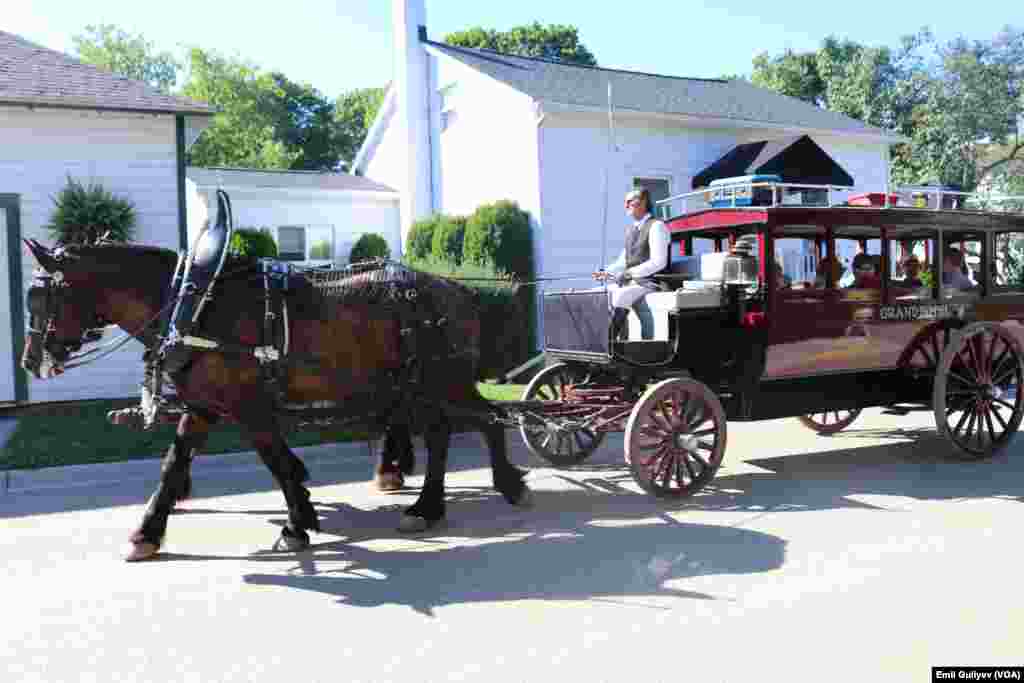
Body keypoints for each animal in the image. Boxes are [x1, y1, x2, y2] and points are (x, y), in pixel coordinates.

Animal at [19, 235, 532, 561]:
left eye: (41, 298)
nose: (29, 361)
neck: (192, 303)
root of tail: (455, 288)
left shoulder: (246, 404)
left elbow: (275, 460)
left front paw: (297, 522)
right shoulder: (204, 405)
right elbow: (175, 464)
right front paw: (148, 532)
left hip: (441, 379)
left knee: (486, 418)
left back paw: (497, 487)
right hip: (424, 384)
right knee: (450, 429)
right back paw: (430, 505)